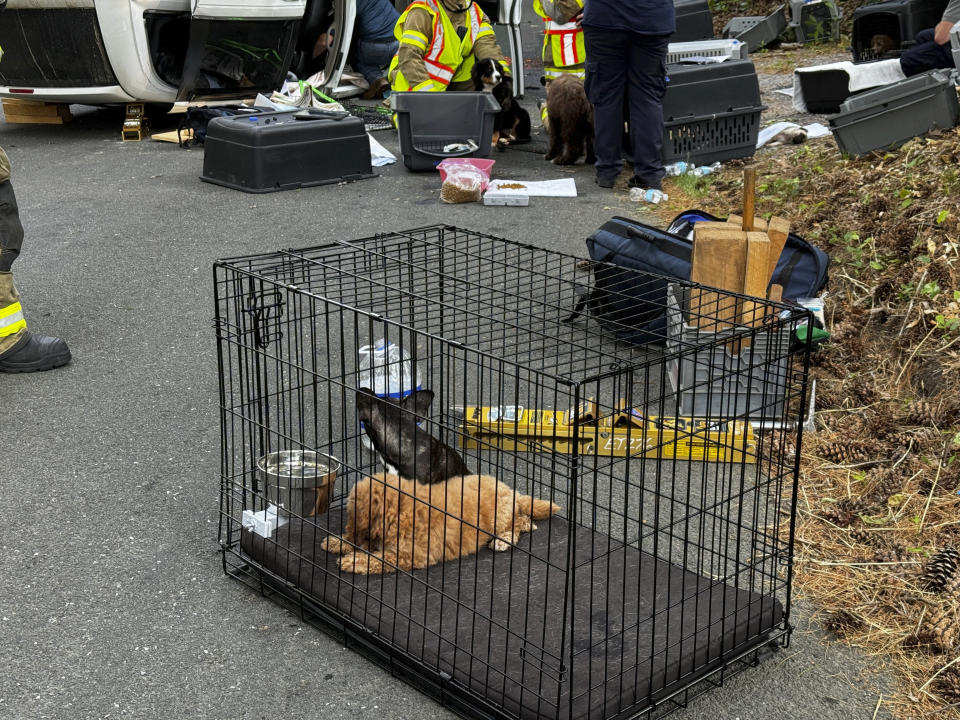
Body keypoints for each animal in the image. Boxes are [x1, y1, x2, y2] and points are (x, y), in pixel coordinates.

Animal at [322, 472, 564, 572]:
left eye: (352, 511)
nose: (348, 530)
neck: (399, 508)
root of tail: (511, 490)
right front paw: (337, 542)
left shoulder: (412, 555)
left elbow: (378, 559)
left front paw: (352, 561)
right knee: (523, 519)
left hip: (500, 515)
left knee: (520, 522)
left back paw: (503, 540)